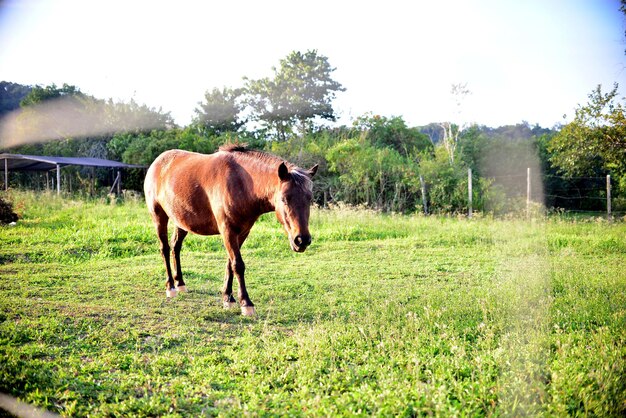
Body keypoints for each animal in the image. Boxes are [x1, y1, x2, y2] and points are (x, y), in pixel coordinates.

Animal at [143, 145, 314, 316]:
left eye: (309, 198)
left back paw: (180, 283)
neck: (241, 183)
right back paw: (171, 286)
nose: (302, 240)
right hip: (158, 216)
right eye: (284, 199)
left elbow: (230, 264)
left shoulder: (242, 232)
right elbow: (238, 265)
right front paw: (246, 303)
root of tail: (157, 162)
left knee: (175, 247)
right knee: (165, 249)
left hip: (181, 222)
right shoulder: (228, 231)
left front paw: (228, 298)